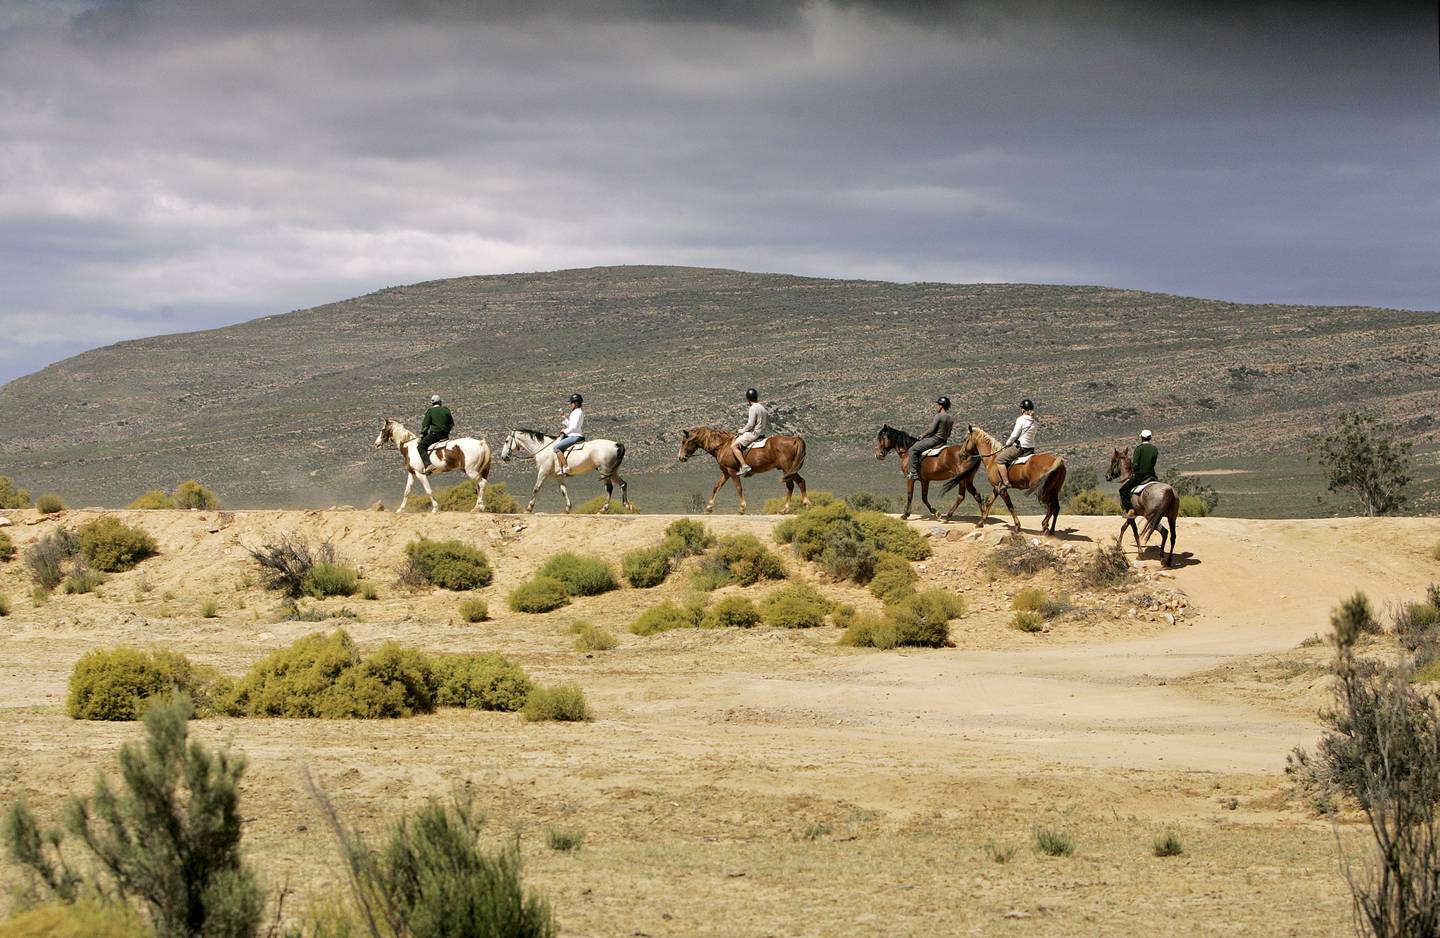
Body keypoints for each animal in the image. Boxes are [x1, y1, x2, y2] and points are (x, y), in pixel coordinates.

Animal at [676, 429, 812, 518]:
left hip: (787, 469)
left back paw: (797, 506)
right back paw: (790, 508)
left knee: (796, 483)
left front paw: (742, 509)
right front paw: (708, 508)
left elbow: (738, 488)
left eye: (684, 442)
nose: (681, 457)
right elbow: (716, 487)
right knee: (797, 483)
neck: (723, 446)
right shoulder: (726, 472)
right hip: (789, 470)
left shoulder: (732, 471)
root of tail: (794, 439)